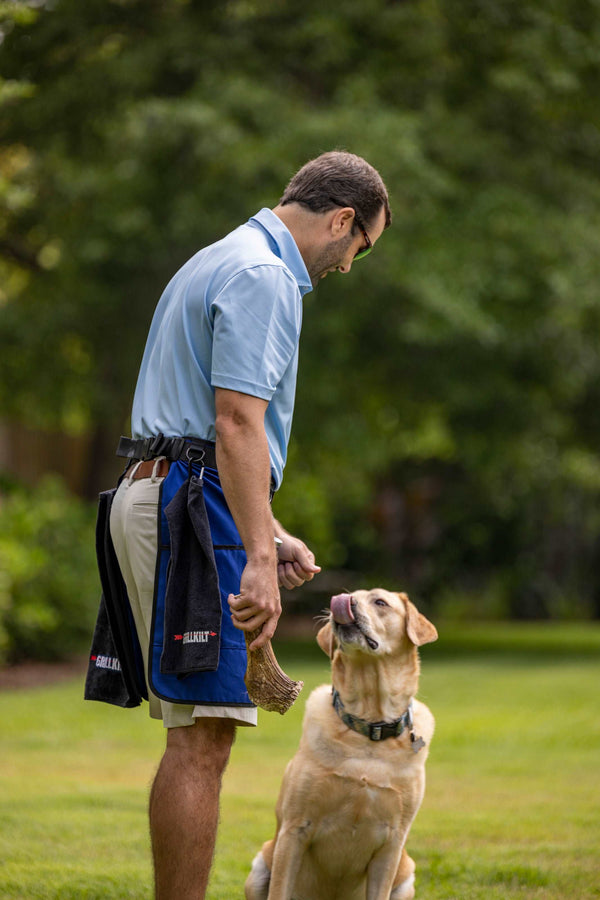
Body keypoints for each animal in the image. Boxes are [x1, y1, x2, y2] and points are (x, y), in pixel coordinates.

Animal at [244, 592, 436, 900]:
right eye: (353, 596)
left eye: (380, 602)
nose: (345, 602)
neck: (368, 728)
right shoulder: (294, 829)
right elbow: (280, 890)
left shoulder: (392, 843)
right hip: (260, 867)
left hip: (406, 877)